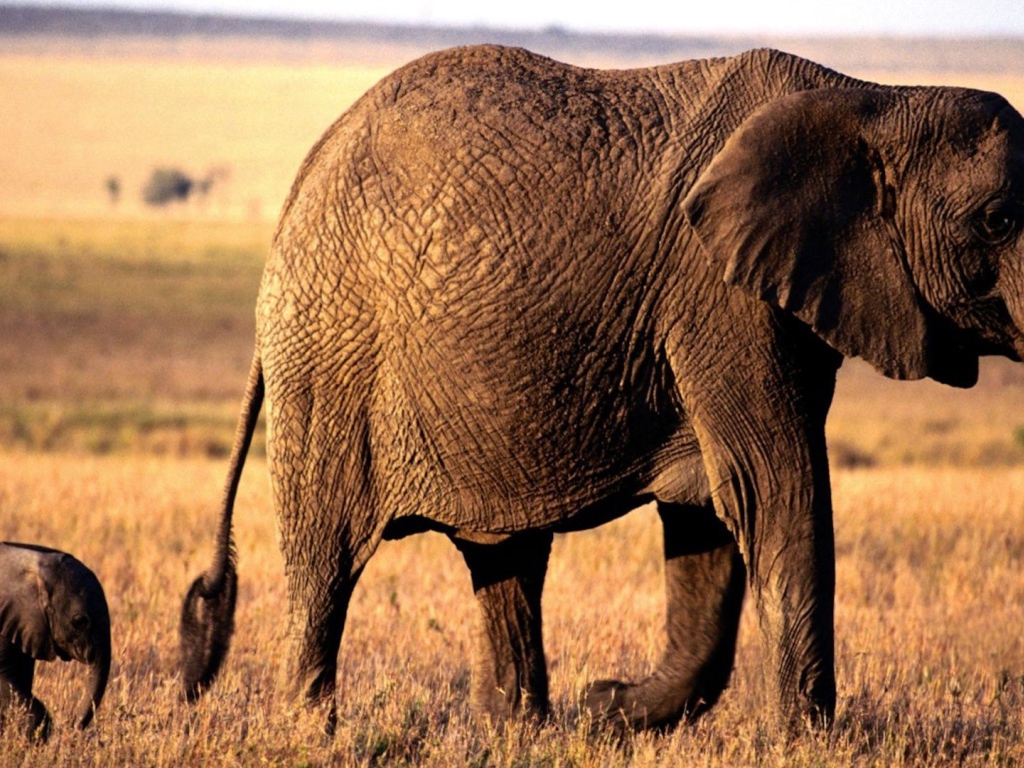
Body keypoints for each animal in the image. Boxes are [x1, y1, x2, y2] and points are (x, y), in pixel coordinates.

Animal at [180, 44, 1024, 732]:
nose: (601, 693)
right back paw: (311, 733)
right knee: (327, 559)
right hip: (331, 361)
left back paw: (522, 731)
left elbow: (710, 511)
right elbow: (771, 483)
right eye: (996, 221)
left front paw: (608, 709)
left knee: (505, 559)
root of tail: (299, 187)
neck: (873, 98)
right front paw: (806, 742)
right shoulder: (717, 293)